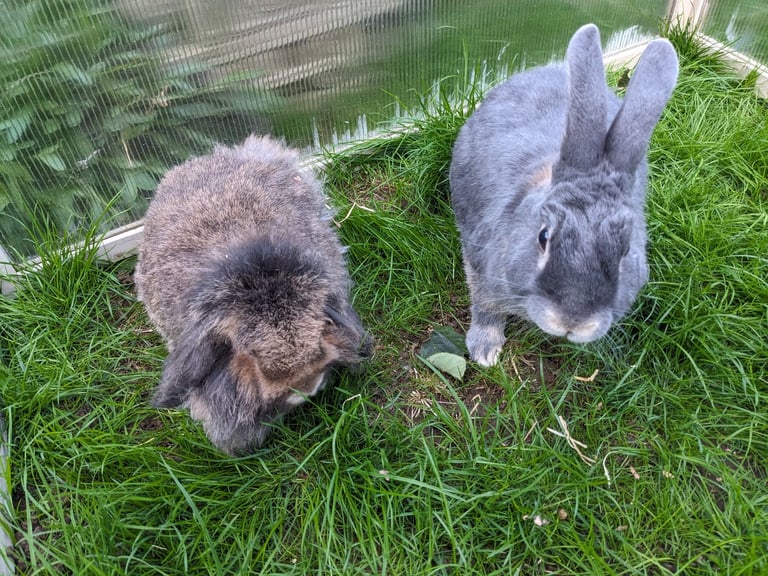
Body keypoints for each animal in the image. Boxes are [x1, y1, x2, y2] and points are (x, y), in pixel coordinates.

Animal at [449, 24, 678, 367]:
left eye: (625, 251)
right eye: (543, 237)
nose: (572, 322)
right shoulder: (479, 261)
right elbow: (486, 305)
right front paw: (485, 351)